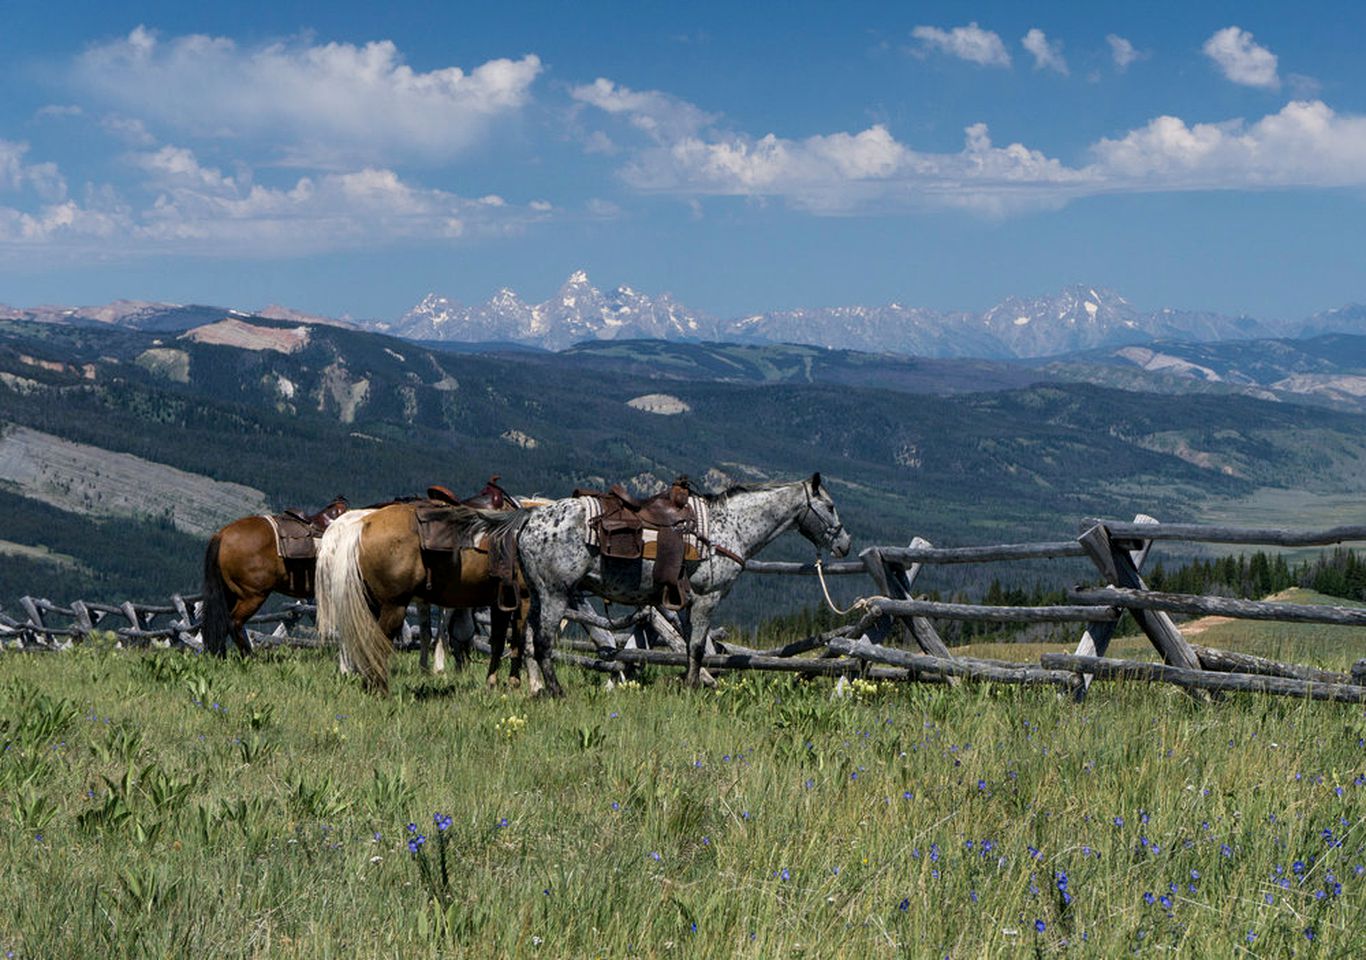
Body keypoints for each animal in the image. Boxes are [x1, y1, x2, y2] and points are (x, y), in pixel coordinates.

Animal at [204, 497, 352, 660]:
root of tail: (221, 535)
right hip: (252, 596)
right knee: (234, 622)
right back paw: (249, 657)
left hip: (229, 593)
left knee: (222, 622)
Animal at [316, 499, 530, 693]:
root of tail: (363, 523)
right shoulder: (523, 598)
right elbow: (517, 640)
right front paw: (514, 682)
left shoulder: (501, 602)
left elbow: (498, 640)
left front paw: (492, 682)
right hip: (393, 606)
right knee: (378, 643)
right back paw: (380, 689)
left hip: (370, 604)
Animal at [513, 475, 852, 693]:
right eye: (831, 506)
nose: (845, 545)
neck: (730, 527)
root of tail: (529, 521)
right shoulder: (707, 597)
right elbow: (699, 647)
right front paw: (692, 688)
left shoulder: (688, 603)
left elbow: (690, 646)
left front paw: (694, 682)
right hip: (555, 594)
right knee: (543, 643)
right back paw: (556, 691)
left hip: (538, 596)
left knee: (527, 641)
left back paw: (535, 688)